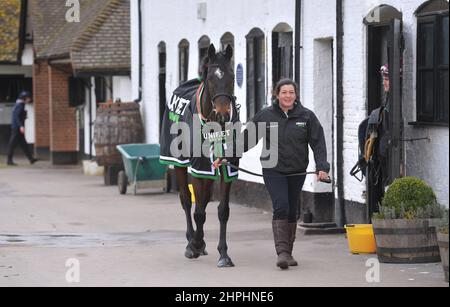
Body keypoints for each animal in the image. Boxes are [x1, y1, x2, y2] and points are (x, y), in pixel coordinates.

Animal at [161, 44, 241, 268]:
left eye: (232, 76)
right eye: (212, 78)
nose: (223, 113)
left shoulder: (226, 167)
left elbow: (222, 210)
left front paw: (224, 254)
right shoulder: (198, 168)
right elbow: (197, 211)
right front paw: (194, 245)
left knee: (204, 200)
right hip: (179, 162)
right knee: (187, 201)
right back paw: (192, 241)